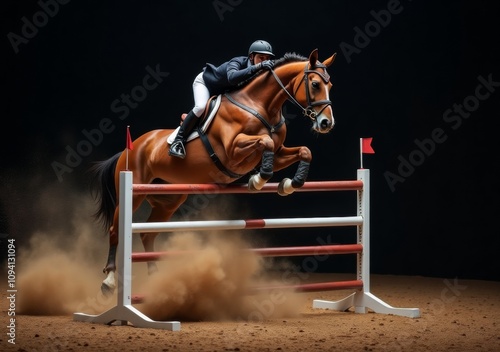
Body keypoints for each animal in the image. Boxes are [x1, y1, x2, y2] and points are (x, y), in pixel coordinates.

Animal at [91, 47, 336, 294]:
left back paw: (155, 278)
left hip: (168, 200)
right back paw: (109, 280)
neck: (261, 106)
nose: (326, 124)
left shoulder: (277, 154)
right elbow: (264, 142)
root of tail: (131, 147)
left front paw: (290, 184)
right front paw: (258, 180)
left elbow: (303, 151)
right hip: (134, 193)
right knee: (115, 230)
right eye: (315, 84)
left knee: (147, 234)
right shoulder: (232, 150)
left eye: (331, 85)